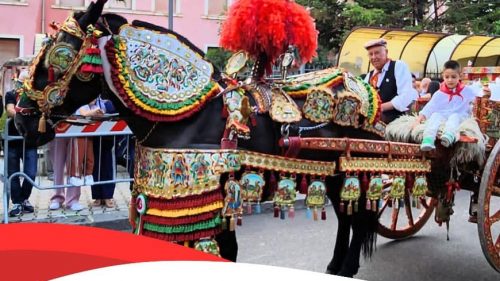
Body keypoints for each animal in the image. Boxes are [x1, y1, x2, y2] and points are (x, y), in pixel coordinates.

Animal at [16, 0, 378, 276]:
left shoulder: (212, 203)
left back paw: (347, 267)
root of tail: (363, 87)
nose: (20, 119)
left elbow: (225, 252)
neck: (188, 116)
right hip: (333, 175)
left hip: (355, 169)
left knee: (359, 220)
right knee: (346, 218)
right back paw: (335, 265)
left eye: (59, 54)